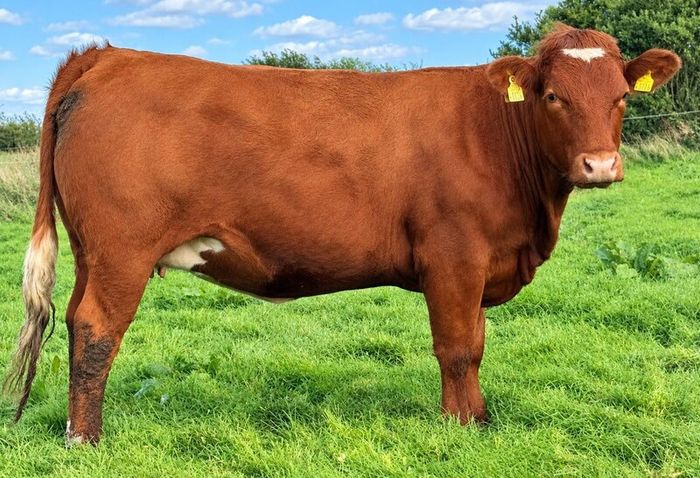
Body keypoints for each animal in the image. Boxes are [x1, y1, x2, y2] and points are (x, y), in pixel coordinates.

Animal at [4, 24, 680, 445]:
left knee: (75, 321)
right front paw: (462, 427)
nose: (599, 165)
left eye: (622, 97)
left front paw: (480, 419)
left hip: (93, 251)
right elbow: (458, 347)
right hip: (122, 250)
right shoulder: (454, 257)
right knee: (97, 329)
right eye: (553, 95)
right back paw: (85, 441)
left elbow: (477, 343)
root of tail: (110, 55)